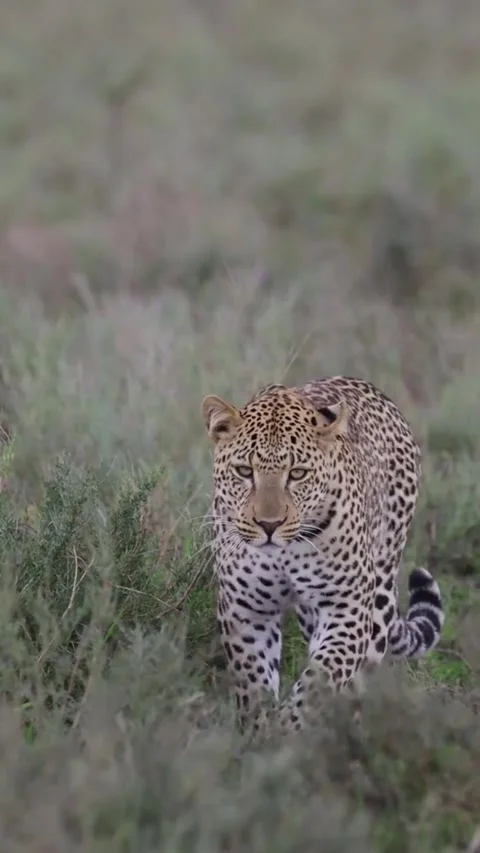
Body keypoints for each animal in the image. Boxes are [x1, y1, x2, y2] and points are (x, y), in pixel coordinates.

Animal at [201, 375, 444, 733]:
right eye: (244, 471)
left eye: (297, 474)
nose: (269, 525)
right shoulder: (247, 609)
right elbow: (253, 680)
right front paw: (260, 732)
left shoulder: (346, 604)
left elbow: (324, 676)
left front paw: (291, 728)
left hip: (378, 593)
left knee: (360, 672)